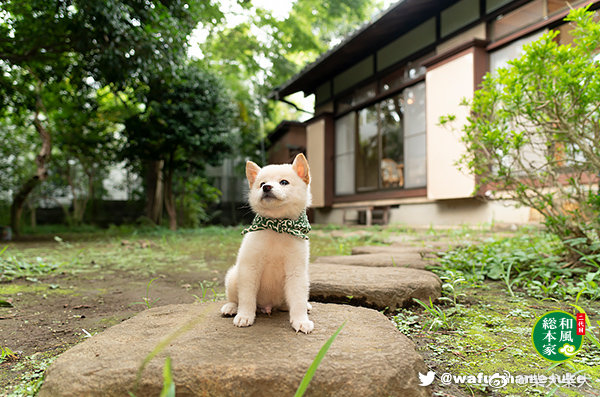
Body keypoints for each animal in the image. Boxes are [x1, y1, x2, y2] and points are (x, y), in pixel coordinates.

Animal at [220, 153, 314, 332]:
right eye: (262, 183)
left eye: (284, 182)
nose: (267, 187)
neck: (277, 227)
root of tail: (269, 306)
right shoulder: (250, 268)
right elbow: (247, 298)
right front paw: (245, 315)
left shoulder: (296, 271)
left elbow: (298, 299)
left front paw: (301, 320)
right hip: (234, 276)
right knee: (235, 298)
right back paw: (231, 307)